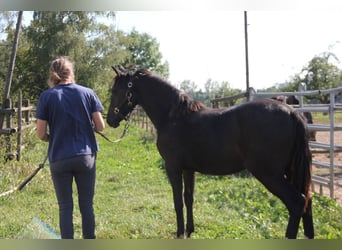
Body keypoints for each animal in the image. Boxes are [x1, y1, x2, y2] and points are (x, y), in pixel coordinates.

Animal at [108, 67, 314, 239]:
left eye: (115, 91)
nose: (110, 120)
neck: (173, 117)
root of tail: (292, 112)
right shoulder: (188, 169)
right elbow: (188, 198)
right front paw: (190, 230)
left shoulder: (173, 167)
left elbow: (177, 201)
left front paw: (180, 233)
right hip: (291, 172)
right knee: (307, 202)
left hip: (269, 174)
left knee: (297, 203)